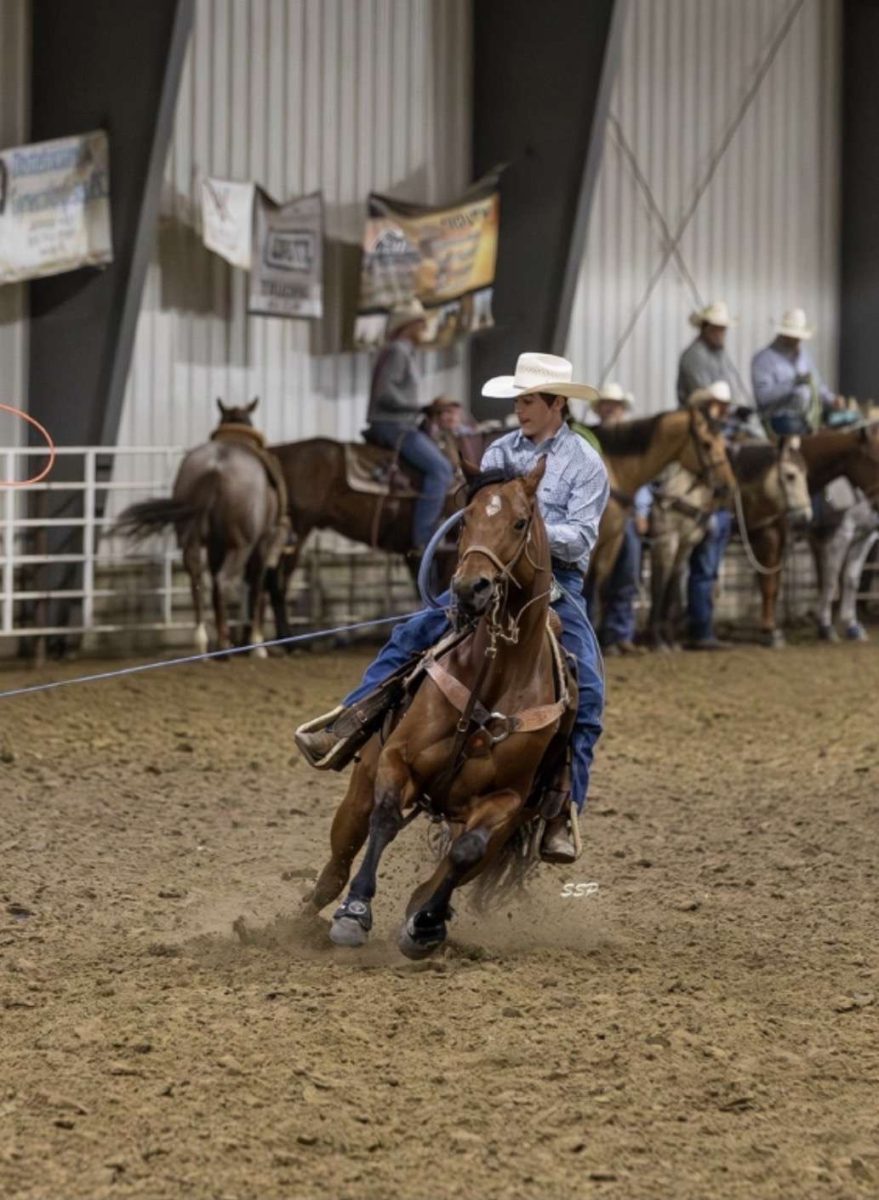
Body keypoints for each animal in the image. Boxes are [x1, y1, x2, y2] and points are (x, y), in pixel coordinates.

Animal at [114, 400, 278, 657]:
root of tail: (216, 468)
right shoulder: (264, 541)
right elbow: (257, 587)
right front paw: (257, 645)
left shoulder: (214, 546)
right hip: (241, 545)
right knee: (222, 581)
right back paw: (224, 646)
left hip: (191, 539)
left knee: (197, 579)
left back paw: (203, 643)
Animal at [300, 453, 576, 960]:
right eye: (465, 518)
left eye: (520, 522)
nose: (471, 588)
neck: (494, 675)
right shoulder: (396, 760)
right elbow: (386, 818)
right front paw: (355, 914)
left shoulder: (504, 802)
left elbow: (463, 853)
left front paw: (424, 926)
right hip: (360, 785)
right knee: (337, 863)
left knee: (445, 870)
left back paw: (426, 922)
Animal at [643, 439, 811, 648]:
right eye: (790, 476)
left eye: (806, 474)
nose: (806, 517)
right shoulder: (669, 539)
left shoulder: (765, 533)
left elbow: (768, 584)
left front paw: (771, 631)